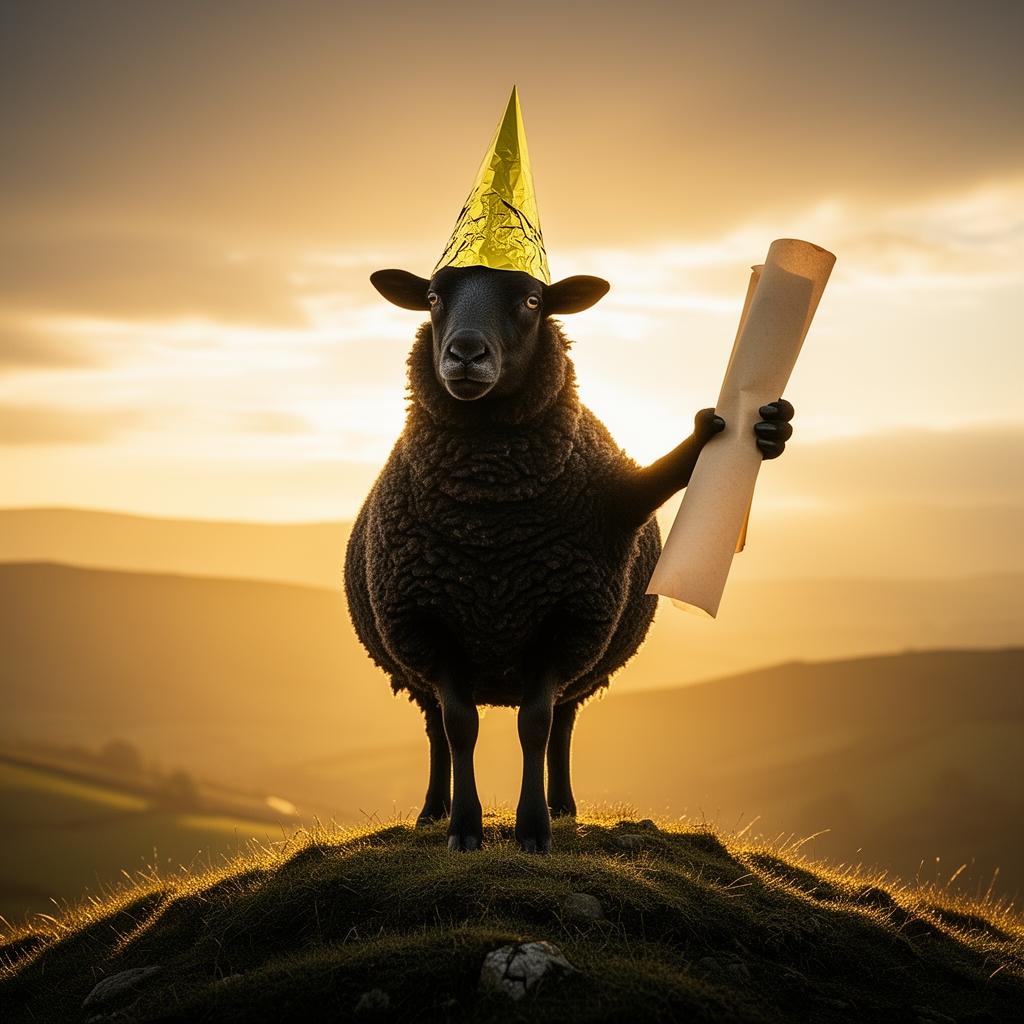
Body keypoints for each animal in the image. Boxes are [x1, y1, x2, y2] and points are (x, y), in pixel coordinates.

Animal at [344, 264, 795, 852]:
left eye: (533, 301)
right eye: (434, 297)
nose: (465, 353)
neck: (490, 521)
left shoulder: (563, 621)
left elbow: (535, 726)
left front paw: (534, 829)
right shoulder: (430, 623)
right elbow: (459, 725)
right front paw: (463, 828)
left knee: (561, 724)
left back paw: (562, 808)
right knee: (436, 728)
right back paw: (431, 812)